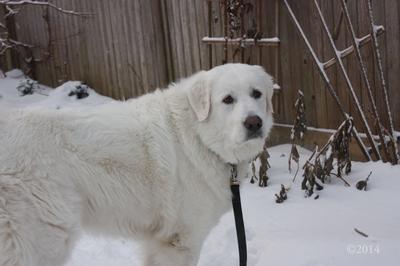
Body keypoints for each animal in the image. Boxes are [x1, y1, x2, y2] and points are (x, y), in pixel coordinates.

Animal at [0, 63, 272, 264]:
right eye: (228, 100)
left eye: (257, 94)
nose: (254, 123)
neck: (198, 135)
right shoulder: (181, 241)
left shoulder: (158, 242)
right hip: (44, 239)